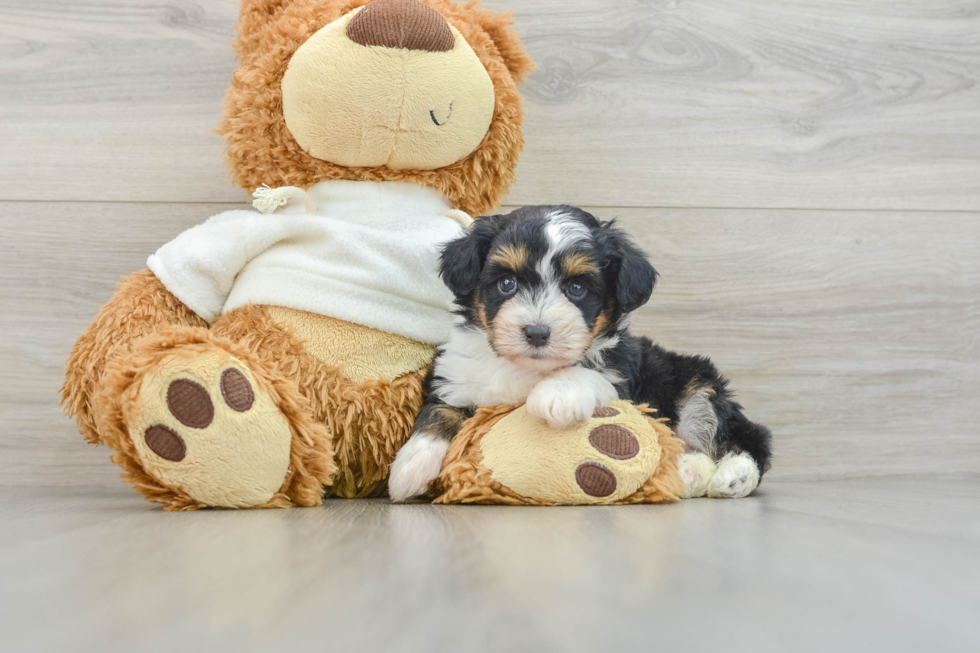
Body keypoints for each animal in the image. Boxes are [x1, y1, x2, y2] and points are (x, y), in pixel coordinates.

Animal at [386, 204, 768, 500]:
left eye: (577, 288)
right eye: (507, 284)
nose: (537, 332)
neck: (528, 369)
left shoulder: (624, 379)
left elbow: (590, 372)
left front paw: (556, 395)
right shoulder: (456, 377)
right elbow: (439, 411)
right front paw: (412, 463)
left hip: (697, 386)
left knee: (747, 438)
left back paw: (729, 476)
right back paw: (687, 473)